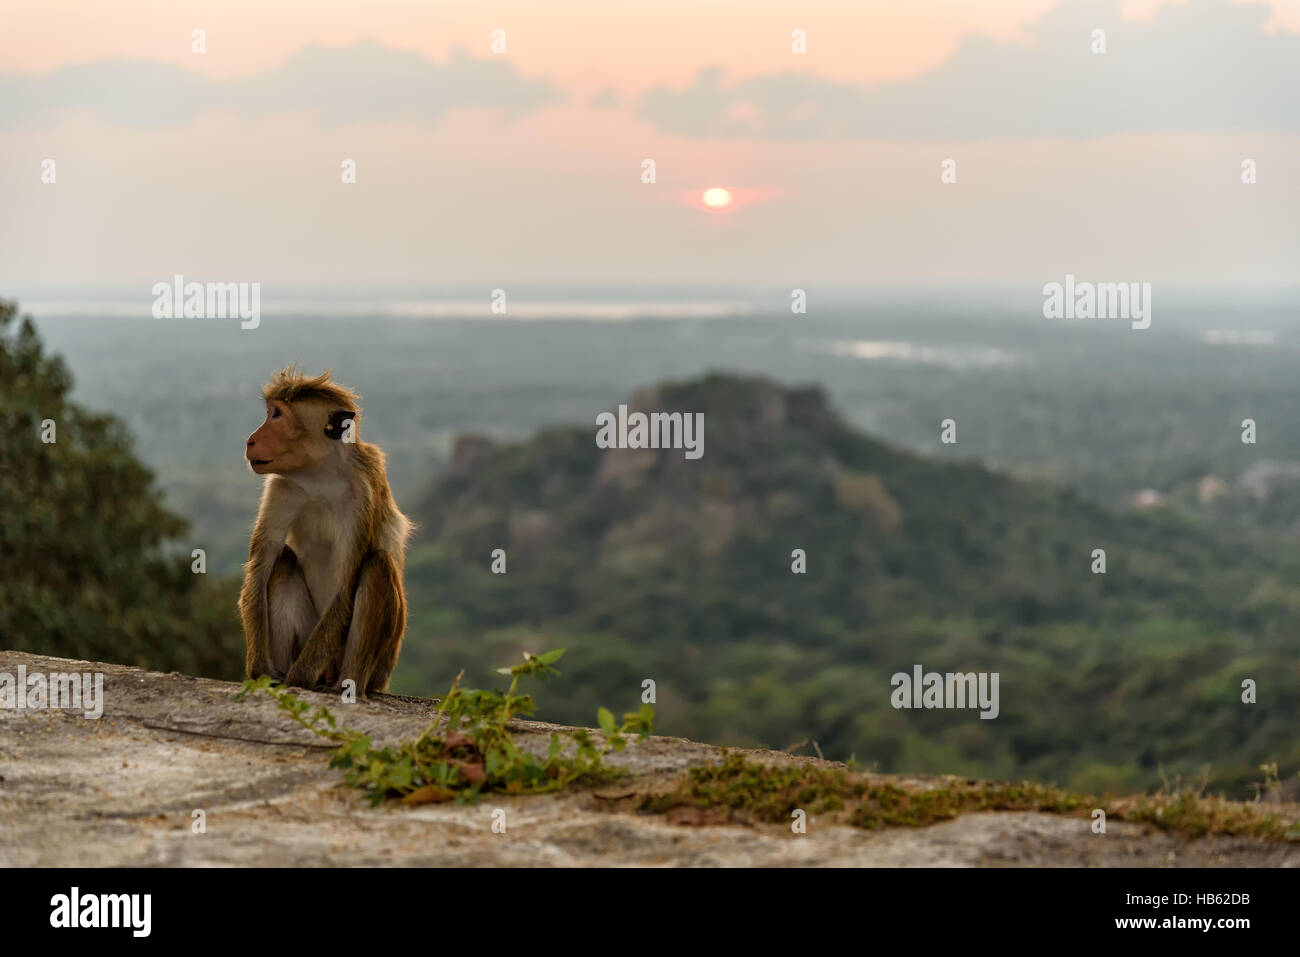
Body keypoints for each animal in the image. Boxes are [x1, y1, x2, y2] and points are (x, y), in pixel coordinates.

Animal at [239, 369, 410, 696]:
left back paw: (347, 684)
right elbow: (261, 566)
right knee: (283, 561)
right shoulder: (282, 486)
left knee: (378, 565)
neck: (320, 474)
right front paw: (260, 669)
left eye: (276, 415)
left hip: (375, 662)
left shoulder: (361, 495)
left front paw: (300, 677)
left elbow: (345, 585)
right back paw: (281, 671)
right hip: (312, 635)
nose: (250, 441)